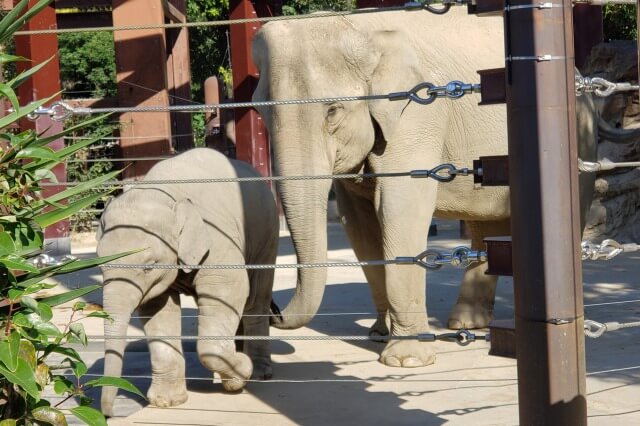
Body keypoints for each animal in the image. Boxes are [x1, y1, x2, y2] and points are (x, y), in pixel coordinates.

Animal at [99, 149, 278, 416]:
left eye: (149, 266)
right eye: (99, 265)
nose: (108, 414)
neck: (161, 192)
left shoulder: (218, 239)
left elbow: (229, 290)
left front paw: (240, 373)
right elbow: (157, 311)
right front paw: (167, 402)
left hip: (266, 232)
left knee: (255, 298)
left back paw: (258, 372)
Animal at [252, 6, 640, 368]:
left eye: (333, 111)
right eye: (260, 112)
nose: (274, 309)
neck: (360, 28)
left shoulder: (417, 111)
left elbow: (399, 209)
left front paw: (405, 360)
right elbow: (359, 223)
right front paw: (379, 336)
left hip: (578, 135)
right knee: (488, 224)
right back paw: (467, 324)